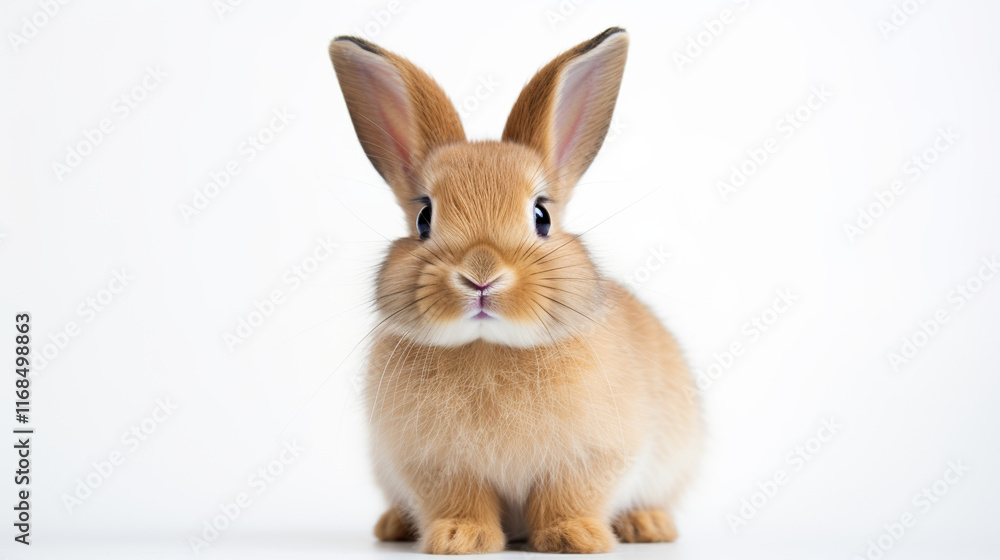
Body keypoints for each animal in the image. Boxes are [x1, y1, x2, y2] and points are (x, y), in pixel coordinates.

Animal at [328, 27, 703, 554]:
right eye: (424, 217)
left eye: (541, 215)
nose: (481, 274)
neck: (489, 346)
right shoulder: (438, 467)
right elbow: (460, 500)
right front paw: (459, 538)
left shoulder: (591, 457)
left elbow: (569, 497)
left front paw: (575, 538)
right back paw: (393, 526)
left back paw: (646, 526)